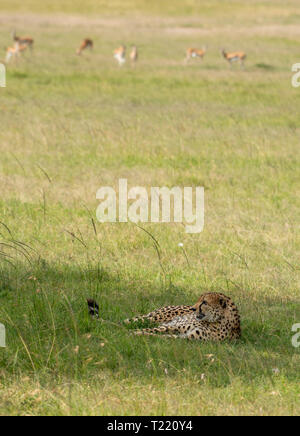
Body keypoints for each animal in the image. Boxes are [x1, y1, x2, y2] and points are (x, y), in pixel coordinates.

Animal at [86, 292, 241, 342]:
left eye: (204, 302)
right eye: (199, 300)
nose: (193, 308)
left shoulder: (186, 336)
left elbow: (159, 335)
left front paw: (136, 334)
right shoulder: (173, 326)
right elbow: (151, 330)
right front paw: (133, 333)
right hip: (153, 318)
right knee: (123, 322)